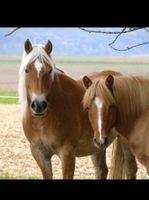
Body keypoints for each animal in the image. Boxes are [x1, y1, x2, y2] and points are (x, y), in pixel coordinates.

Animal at [18, 38, 122, 179]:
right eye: (27, 70)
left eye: (49, 70)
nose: (39, 105)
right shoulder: (39, 154)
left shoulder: (67, 153)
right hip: (98, 145)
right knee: (101, 170)